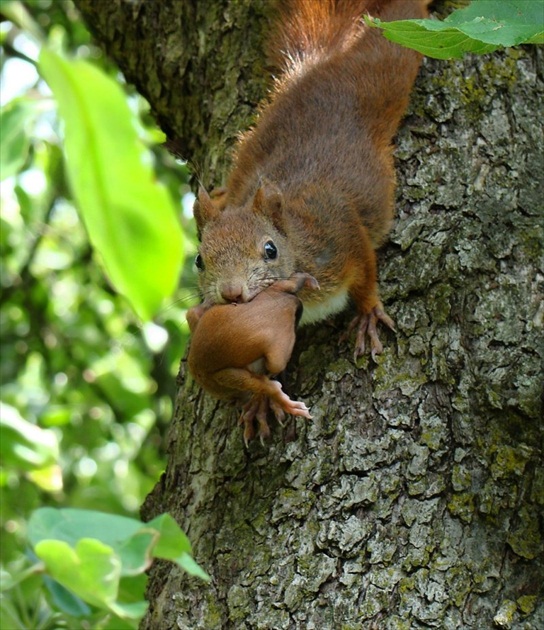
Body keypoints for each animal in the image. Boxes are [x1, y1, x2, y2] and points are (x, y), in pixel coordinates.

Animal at [194, 0, 430, 362]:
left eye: (270, 250)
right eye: (198, 260)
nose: (231, 293)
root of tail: (325, 67)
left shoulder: (339, 234)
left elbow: (365, 272)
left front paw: (368, 313)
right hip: (257, 137)